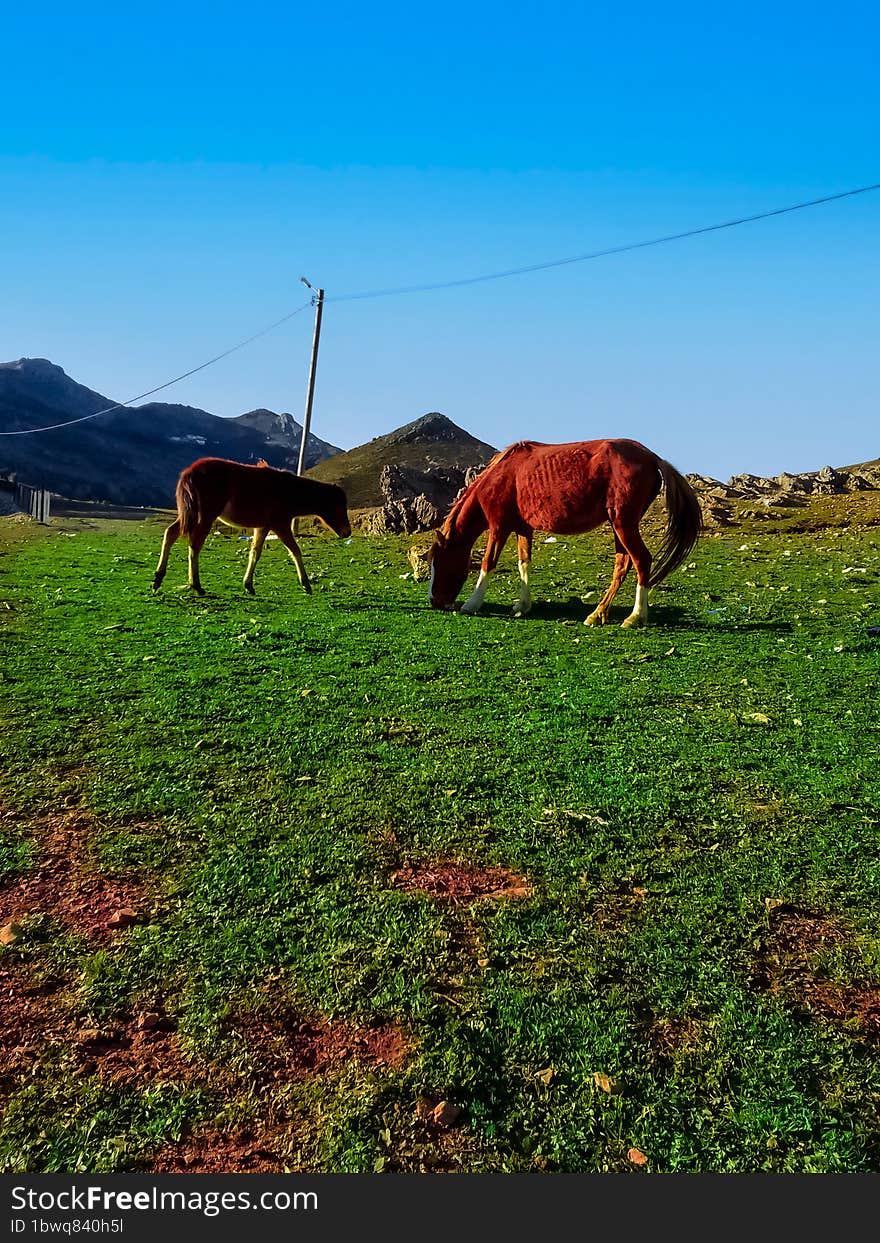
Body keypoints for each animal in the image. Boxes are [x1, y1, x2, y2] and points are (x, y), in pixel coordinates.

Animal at [154, 457, 350, 596]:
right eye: (339, 506)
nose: (347, 532)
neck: (289, 490)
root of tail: (189, 471)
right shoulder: (280, 524)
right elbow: (295, 550)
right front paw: (306, 584)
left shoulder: (263, 527)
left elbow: (255, 552)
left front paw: (248, 585)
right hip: (205, 516)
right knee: (194, 545)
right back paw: (196, 585)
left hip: (191, 514)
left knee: (171, 533)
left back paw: (158, 579)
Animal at [425, 440, 701, 631]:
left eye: (439, 562)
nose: (434, 601)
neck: (500, 476)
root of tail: (653, 458)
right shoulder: (523, 528)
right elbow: (524, 563)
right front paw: (523, 605)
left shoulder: (499, 527)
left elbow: (487, 563)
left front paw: (471, 604)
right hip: (618, 526)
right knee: (622, 565)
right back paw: (597, 614)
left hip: (624, 523)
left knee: (642, 560)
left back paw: (635, 616)